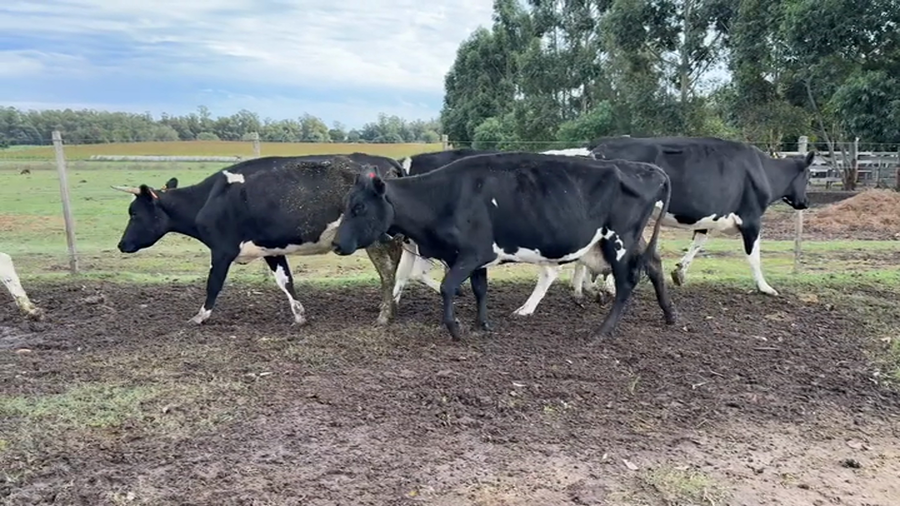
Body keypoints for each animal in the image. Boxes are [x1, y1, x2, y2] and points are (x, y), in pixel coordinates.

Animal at [112, 154, 404, 326]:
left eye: (134, 213)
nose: (121, 245)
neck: (209, 200)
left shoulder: (222, 250)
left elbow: (213, 284)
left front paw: (200, 316)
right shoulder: (271, 249)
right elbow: (286, 281)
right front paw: (299, 316)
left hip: (374, 239)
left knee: (388, 270)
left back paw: (384, 314)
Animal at [331, 151, 677, 341]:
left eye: (359, 207)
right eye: (346, 205)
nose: (335, 243)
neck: (445, 196)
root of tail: (645, 168)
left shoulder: (472, 253)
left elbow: (447, 287)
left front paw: (455, 328)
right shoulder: (476, 258)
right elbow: (480, 290)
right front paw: (483, 324)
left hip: (619, 241)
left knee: (627, 283)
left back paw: (603, 331)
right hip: (629, 240)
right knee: (654, 265)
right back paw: (670, 315)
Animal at [586, 136, 814, 296]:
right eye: (809, 175)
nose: (806, 202)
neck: (763, 171)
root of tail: (601, 148)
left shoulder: (709, 218)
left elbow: (698, 242)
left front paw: (679, 272)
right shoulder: (751, 219)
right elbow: (754, 256)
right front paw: (765, 287)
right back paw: (608, 286)